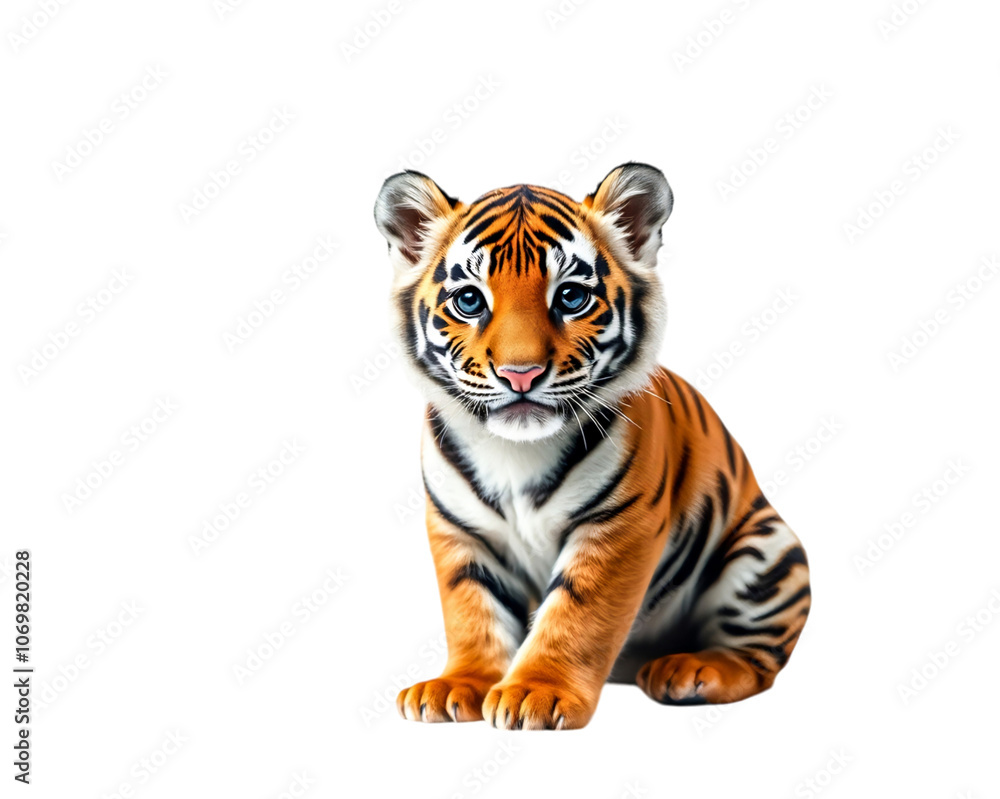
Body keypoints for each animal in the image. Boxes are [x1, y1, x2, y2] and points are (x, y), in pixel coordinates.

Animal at [373, 162, 810, 730]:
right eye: (470, 300)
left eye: (570, 298)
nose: (520, 374)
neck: (516, 453)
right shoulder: (460, 530)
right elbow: (471, 611)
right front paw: (459, 685)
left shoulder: (618, 526)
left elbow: (577, 614)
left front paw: (535, 693)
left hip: (764, 553)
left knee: (758, 661)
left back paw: (691, 671)